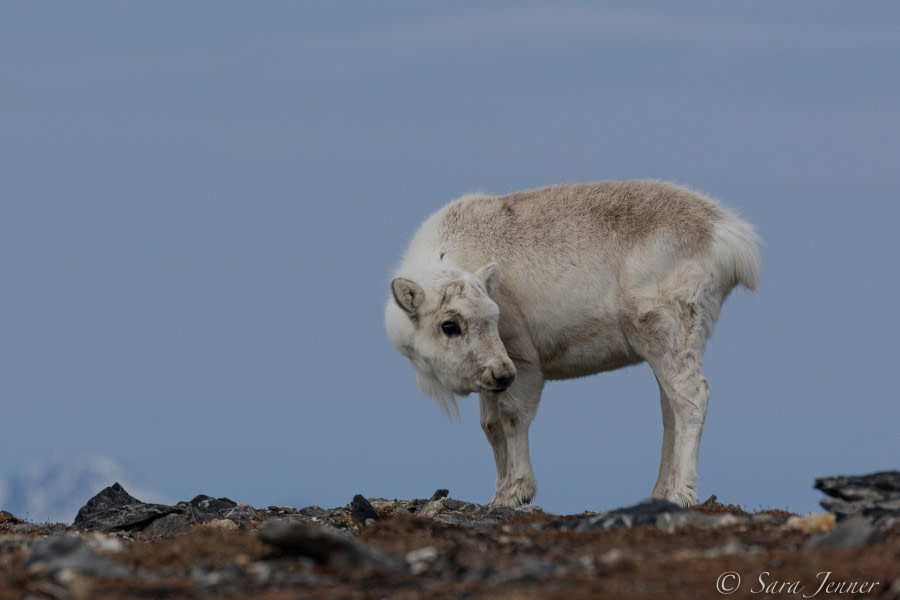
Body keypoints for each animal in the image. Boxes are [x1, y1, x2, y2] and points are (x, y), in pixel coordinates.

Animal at [384, 180, 760, 508]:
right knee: (671, 406)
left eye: (494, 316)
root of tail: (730, 237)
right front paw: (498, 492)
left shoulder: (522, 359)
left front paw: (516, 492)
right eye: (450, 326)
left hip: (665, 326)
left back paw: (680, 493)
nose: (504, 374)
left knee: (692, 395)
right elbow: (490, 427)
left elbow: (512, 418)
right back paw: (659, 492)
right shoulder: (490, 376)